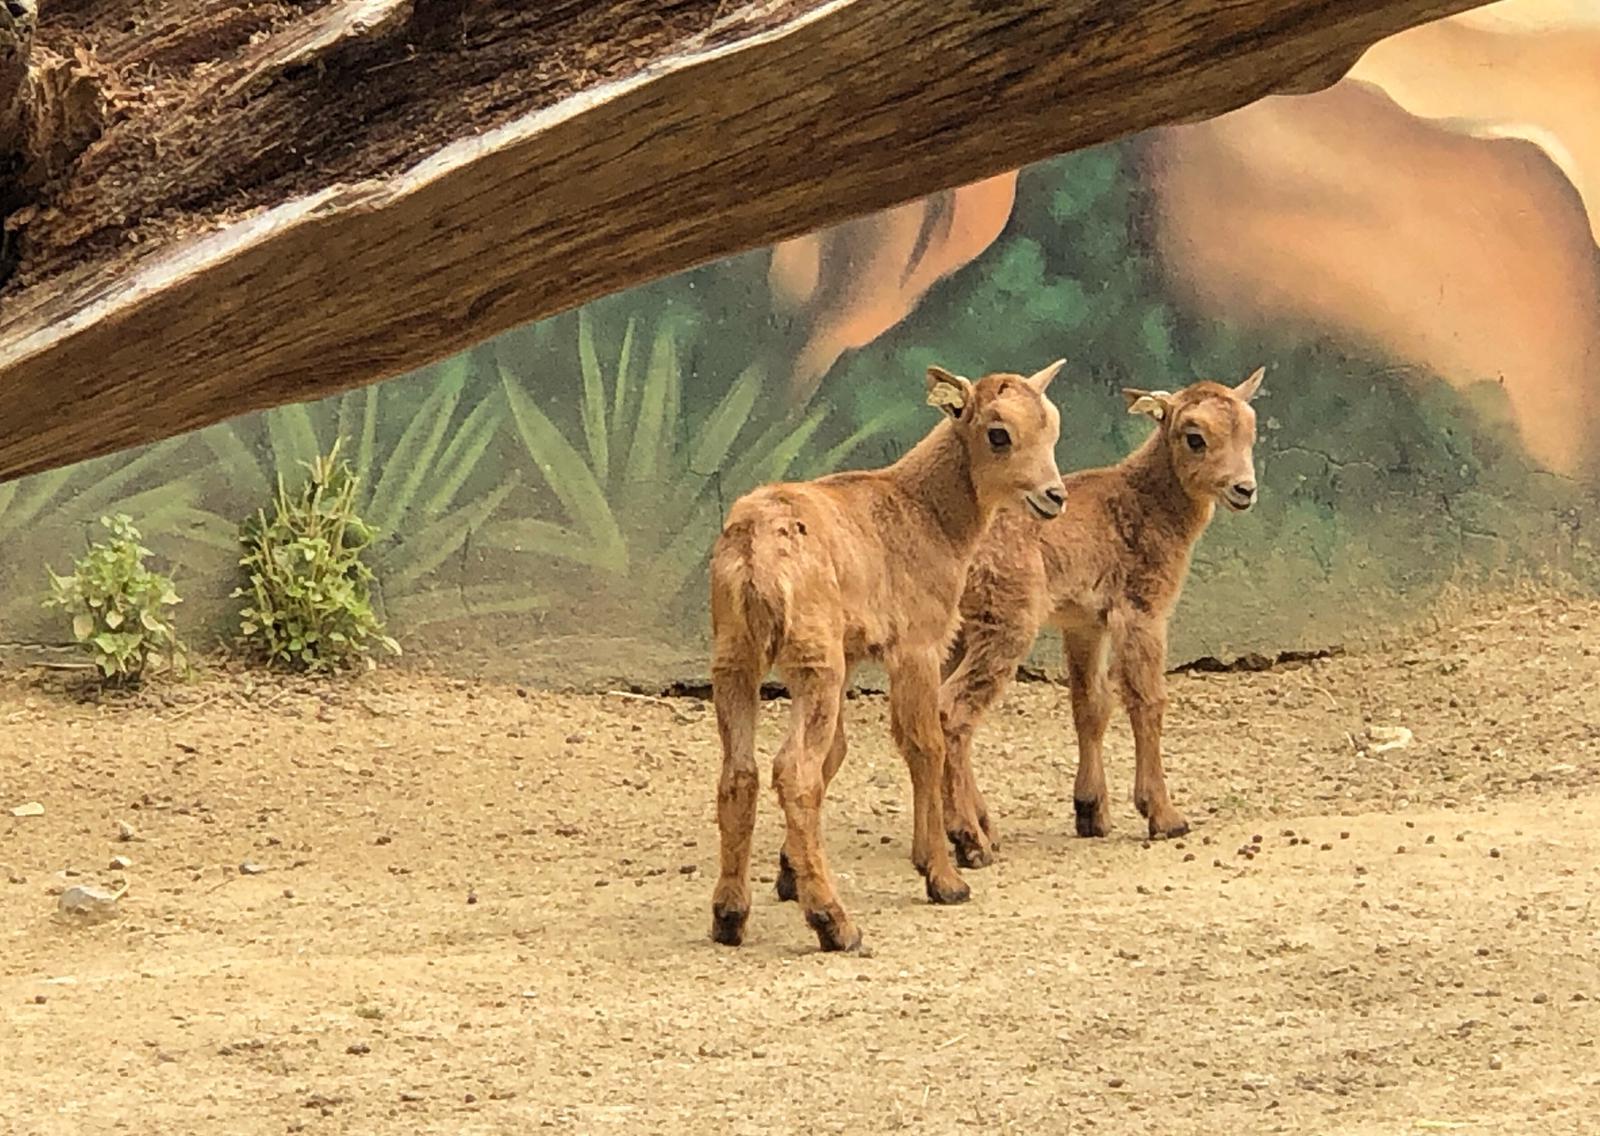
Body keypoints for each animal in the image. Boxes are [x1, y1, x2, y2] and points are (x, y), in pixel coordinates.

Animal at [710, 363, 1068, 953]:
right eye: (998, 433)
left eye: (1053, 426)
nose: (1053, 496)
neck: (929, 516)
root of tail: (758, 553)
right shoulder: (917, 645)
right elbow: (923, 744)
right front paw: (944, 876)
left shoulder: (855, 654)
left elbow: (841, 752)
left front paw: (787, 874)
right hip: (812, 659)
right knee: (794, 771)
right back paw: (835, 923)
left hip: (735, 656)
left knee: (741, 772)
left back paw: (729, 916)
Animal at [934, 369, 1260, 870]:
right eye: (1195, 437)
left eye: (1252, 430)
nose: (1244, 488)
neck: (1147, 502)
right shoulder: (1141, 608)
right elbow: (1146, 698)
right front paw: (1164, 816)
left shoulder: (1085, 622)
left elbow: (1090, 705)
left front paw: (1091, 812)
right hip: (1004, 622)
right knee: (953, 709)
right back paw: (971, 841)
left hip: (960, 634)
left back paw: (983, 829)